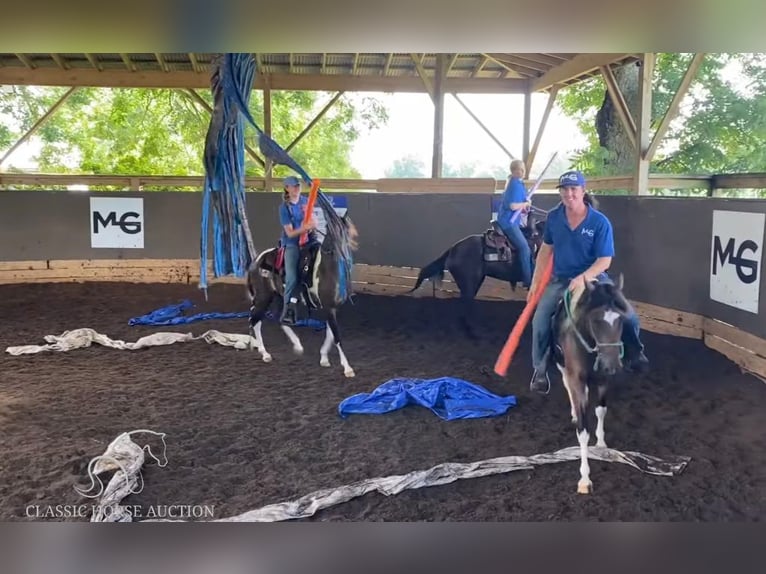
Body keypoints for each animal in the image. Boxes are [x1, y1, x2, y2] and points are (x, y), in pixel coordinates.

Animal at [552, 274, 636, 496]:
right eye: (596, 320)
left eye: (621, 319)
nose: (613, 365)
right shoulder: (576, 378)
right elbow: (582, 432)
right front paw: (584, 479)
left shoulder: (603, 378)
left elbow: (600, 410)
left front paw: (601, 444)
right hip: (562, 366)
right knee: (566, 384)